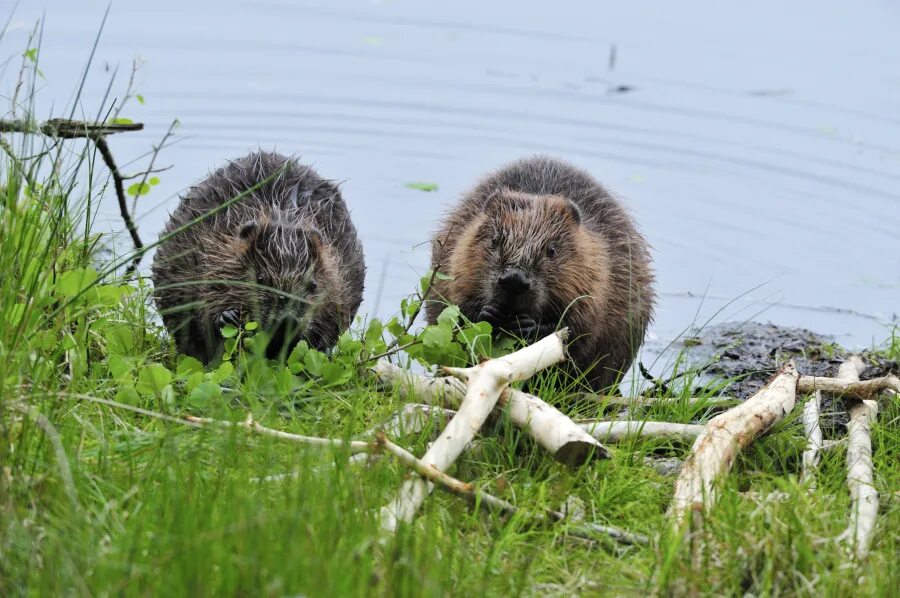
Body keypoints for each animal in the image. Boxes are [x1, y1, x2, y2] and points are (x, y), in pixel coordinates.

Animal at [152, 152, 366, 364]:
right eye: (260, 279)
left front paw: (318, 345)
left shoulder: (341, 277)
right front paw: (227, 317)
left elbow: (333, 318)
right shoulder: (205, 249)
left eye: (312, 285)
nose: (287, 320)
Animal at [426, 155, 656, 394]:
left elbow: (581, 328)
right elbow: (454, 307)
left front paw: (529, 326)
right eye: (494, 240)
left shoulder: (602, 274)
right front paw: (489, 313)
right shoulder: (457, 254)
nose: (514, 280)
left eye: (551, 250)